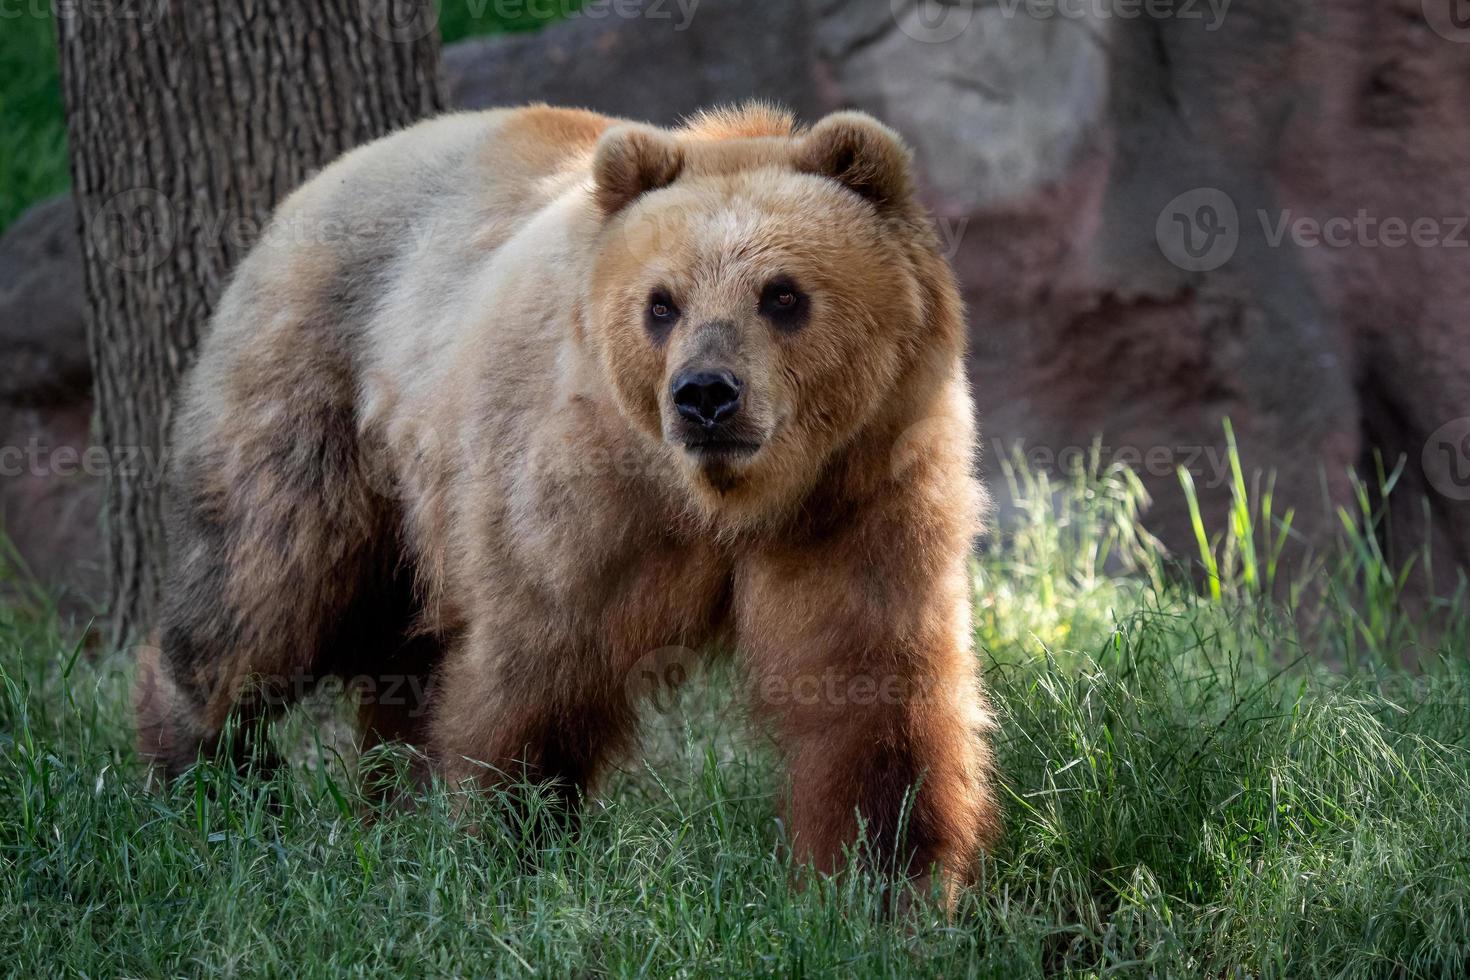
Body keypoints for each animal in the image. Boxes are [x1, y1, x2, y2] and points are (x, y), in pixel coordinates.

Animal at [135, 103, 999, 899]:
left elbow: (866, 687)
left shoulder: (859, 489)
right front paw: (503, 845)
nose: (705, 396)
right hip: (319, 398)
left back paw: (388, 805)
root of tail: (314, 187)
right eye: (661, 302)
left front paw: (885, 883)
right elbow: (538, 664)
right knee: (260, 587)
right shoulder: (585, 494)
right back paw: (206, 778)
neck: (720, 501)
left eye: (782, 295)